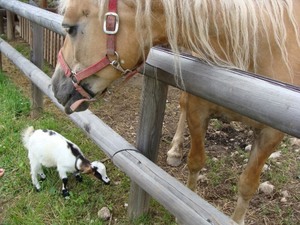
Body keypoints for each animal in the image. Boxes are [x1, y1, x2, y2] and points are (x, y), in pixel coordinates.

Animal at [52, 0, 300, 224]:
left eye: (70, 28)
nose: (56, 86)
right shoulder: (198, 110)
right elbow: (195, 162)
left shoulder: (271, 134)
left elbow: (248, 184)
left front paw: (237, 219)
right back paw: (175, 150)